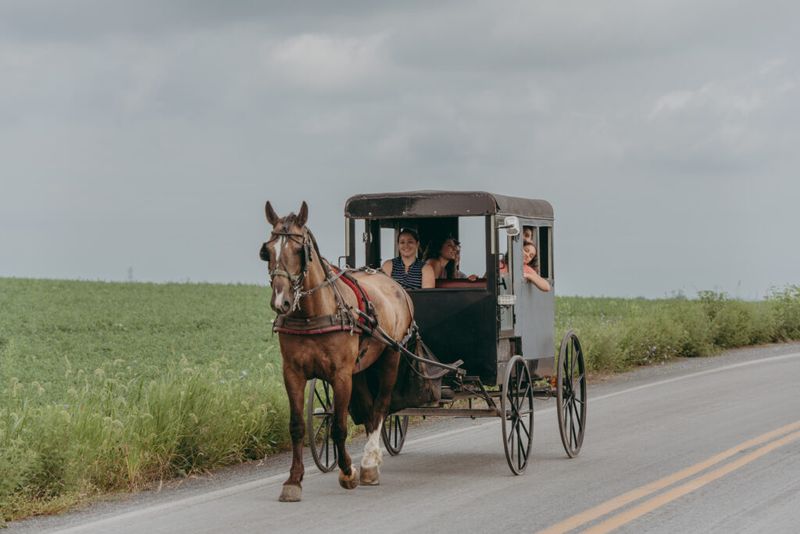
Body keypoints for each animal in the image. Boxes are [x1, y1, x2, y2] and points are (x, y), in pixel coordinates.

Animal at [262, 201, 414, 502]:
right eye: (268, 250)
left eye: (298, 250)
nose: (280, 302)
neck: (313, 314)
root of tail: (396, 286)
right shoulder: (292, 373)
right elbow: (297, 426)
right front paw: (293, 480)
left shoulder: (341, 374)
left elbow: (339, 427)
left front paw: (348, 472)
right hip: (363, 367)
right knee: (368, 408)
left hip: (391, 356)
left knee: (381, 407)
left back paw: (369, 463)